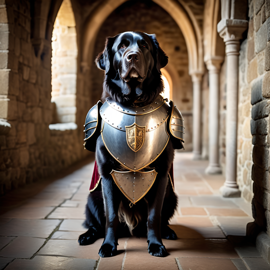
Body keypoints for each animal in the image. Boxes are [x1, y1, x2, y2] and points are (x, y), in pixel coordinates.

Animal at [78, 31, 184, 258]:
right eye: (121, 46)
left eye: (143, 46)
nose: (132, 56)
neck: (134, 102)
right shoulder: (107, 175)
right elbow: (111, 217)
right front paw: (108, 246)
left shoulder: (161, 174)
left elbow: (154, 216)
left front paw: (156, 244)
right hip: (92, 198)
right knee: (95, 224)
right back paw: (87, 236)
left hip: (172, 196)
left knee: (161, 219)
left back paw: (168, 232)